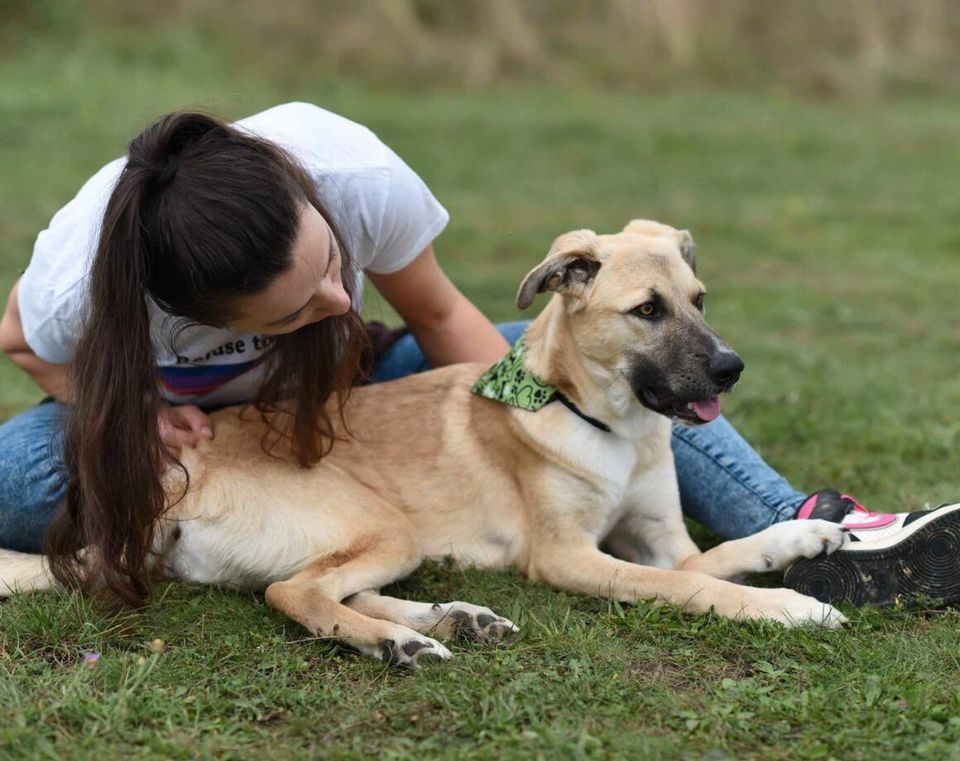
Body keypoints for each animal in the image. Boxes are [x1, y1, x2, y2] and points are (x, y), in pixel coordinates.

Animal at [0, 220, 848, 664]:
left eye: (700, 299)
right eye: (647, 310)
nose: (731, 368)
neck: (605, 422)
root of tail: (182, 471)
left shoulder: (664, 538)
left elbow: (722, 556)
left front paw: (804, 540)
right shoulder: (569, 556)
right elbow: (696, 587)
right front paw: (787, 608)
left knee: (323, 586)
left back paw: (450, 620)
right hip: (379, 521)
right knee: (295, 592)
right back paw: (397, 644)